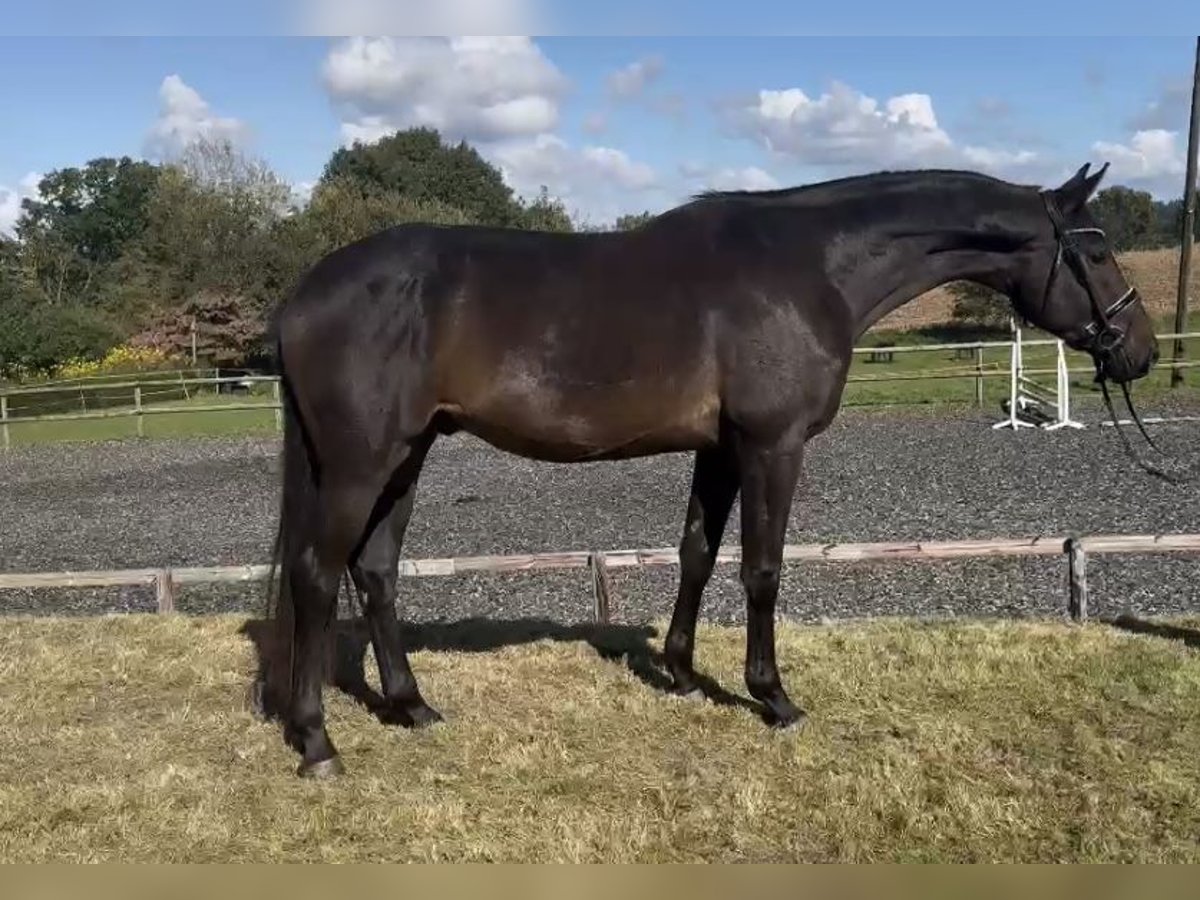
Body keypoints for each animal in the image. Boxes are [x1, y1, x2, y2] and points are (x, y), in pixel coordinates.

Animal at [258, 164, 1156, 782]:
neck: (810, 268)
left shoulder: (721, 449)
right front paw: (773, 697)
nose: (1141, 351)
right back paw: (317, 742)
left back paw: (411, 706)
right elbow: (761, 570)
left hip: (408, 455)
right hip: (360, 462)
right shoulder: (772, 445)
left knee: (375, 571)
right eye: (1097, 251)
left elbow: (696, 553)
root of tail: (304, 292)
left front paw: (684, 675)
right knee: (317, 573)